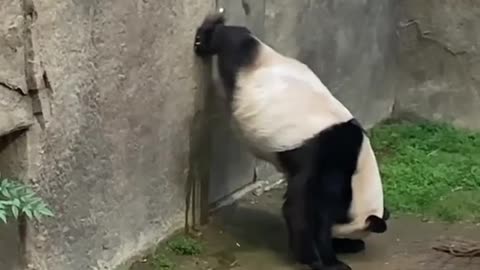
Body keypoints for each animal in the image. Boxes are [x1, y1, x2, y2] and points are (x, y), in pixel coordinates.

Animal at [195, 11, 390, 270]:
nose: (346, 242)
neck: (360, 172)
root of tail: (268, 52)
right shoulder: (328, 161)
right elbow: (305, 210)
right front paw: (325, 259)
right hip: (245, 66)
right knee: (235, 44)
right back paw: (206, 37)